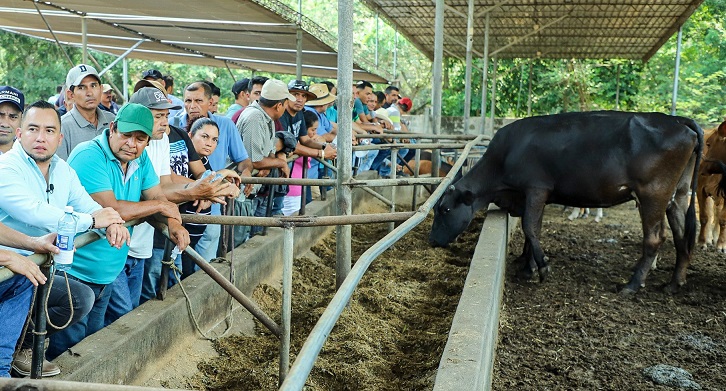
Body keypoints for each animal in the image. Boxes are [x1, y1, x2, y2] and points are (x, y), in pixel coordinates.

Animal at [432, 110, 704, 294]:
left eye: (445, 209)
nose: (431, 240)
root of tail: (678, 120)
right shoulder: (536, 194)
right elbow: (535, 229)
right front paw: (528, 265)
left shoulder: (536, 188)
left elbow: (530, 227)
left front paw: (541, 267)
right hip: (678, 195)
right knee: (682, 237)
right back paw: (674, 283)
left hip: (653, 193)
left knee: (655, 239)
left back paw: (633, 284)